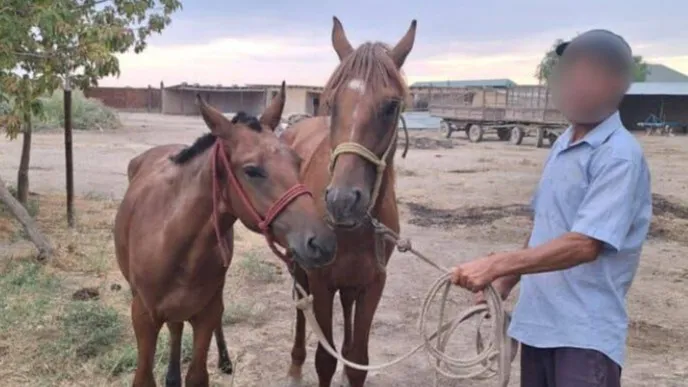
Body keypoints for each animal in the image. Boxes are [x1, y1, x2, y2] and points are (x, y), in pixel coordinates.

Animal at [113, 82, 336, 387]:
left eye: (297, 161)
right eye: (252, 170)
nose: (321, 243)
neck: (171, 241)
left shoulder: (206, 314)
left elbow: (198, 373)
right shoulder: (144, 318)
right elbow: (145, 376)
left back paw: (223, 359)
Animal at [280, 16, 420, 386]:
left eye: (391, 106)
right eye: (331, 103)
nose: (342, 201)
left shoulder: (373, 284)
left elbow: (357, 360)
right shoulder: (321, 282)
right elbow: (324, 360)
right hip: (299, 264)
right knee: (299, 306)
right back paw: (294, 364)